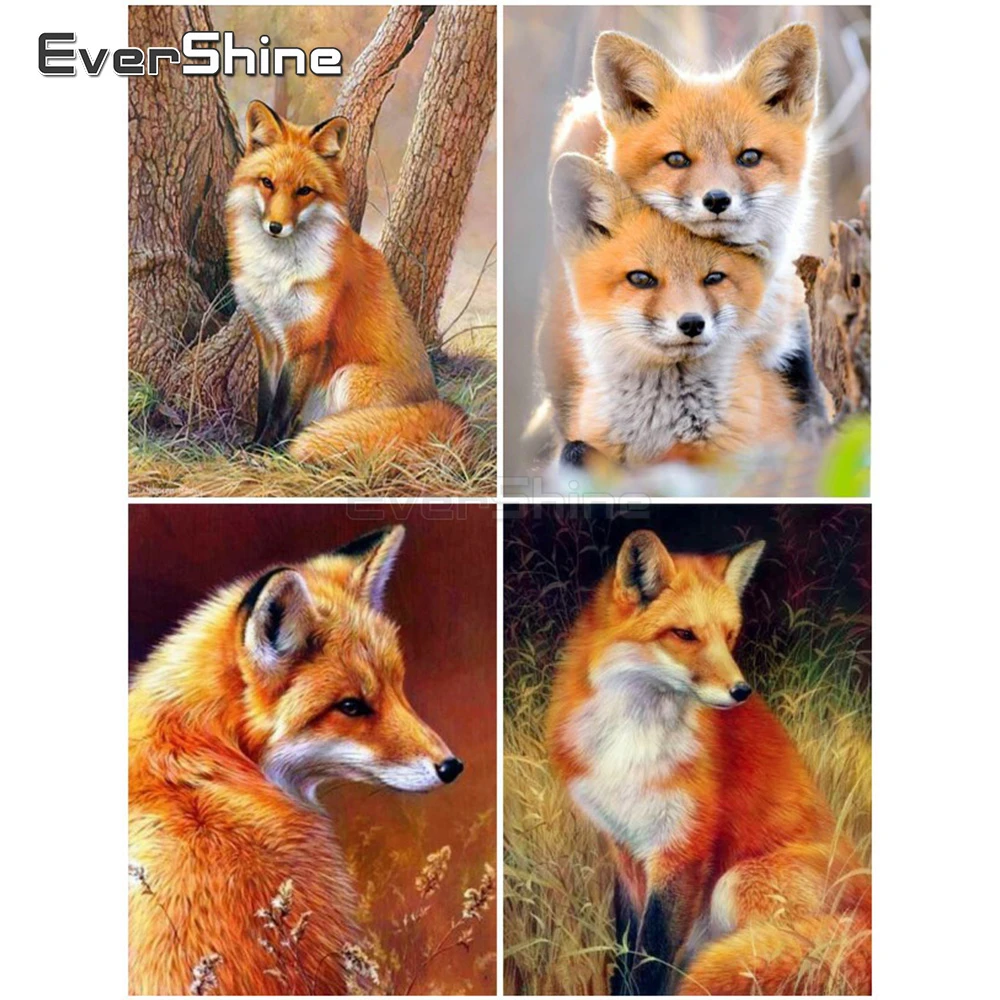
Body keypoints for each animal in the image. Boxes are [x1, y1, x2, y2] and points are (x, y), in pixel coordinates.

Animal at [226, 101, 468, 464]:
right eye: (267, 182)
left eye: (304, 191)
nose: (275, 227)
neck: (277, 272)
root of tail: (434, 401)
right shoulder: (266, 337)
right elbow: (264, 402)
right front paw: (255, 443)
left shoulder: (307, 339)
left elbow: (282, 407)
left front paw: (268, 451)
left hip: (348, 377)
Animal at [546, 530, 871, 996]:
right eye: (684, 634)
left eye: (729, 635)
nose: (741, 691)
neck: (632, 743)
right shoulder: (625, 847)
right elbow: (627, 949)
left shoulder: (683, 846)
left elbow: (652, 959)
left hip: (738, 882)